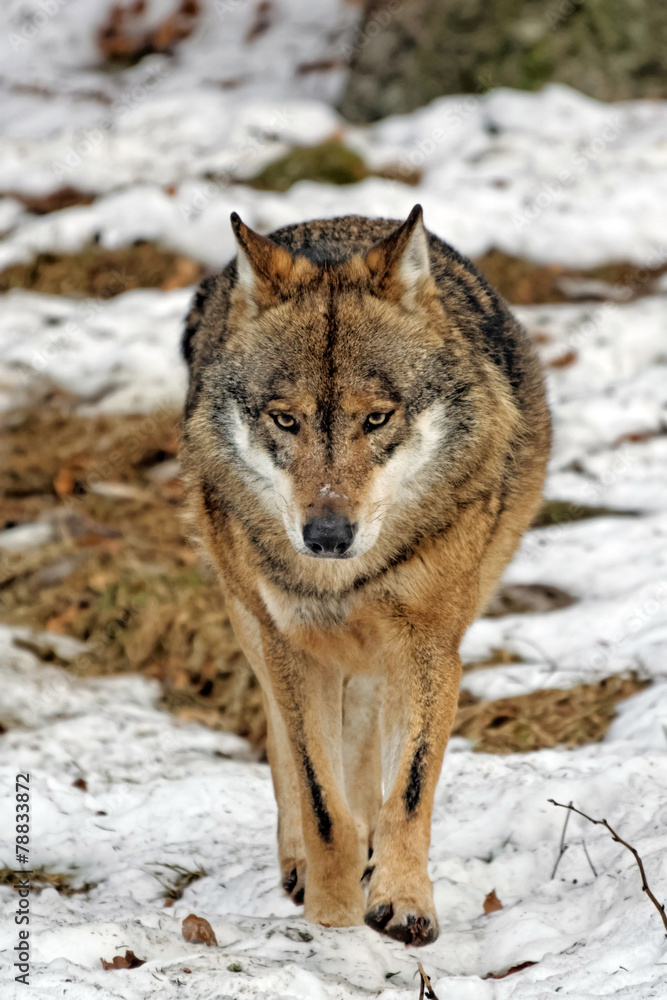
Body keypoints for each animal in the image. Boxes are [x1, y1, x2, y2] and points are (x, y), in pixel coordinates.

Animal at [180, 205, 550, 946]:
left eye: (376, 418)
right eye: (285, 419)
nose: (326, 536)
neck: (343, 583)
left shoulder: (428, 647)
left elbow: (405, 788)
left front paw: (402, 902)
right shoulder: (293, 646)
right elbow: (321, 799)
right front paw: (332, 918)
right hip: (252, 620)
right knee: (284, 746)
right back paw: (304, 864)